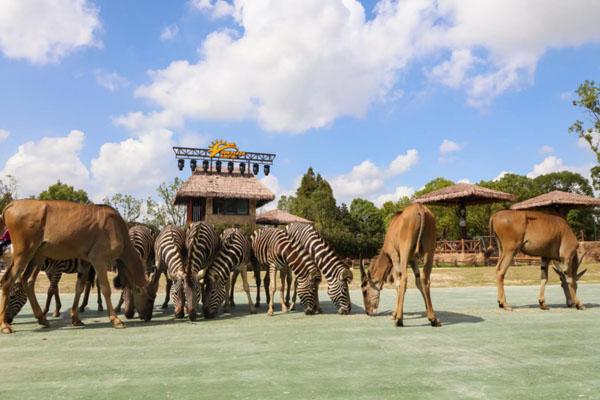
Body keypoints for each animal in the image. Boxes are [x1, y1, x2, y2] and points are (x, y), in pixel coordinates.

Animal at [0, 200, 155, 334]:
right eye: (149, 298)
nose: (148, 317)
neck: (117, 228)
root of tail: (11, 205)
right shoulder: (98, 260)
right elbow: (106, 288)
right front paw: (115, 320)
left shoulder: (86, 262)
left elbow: (79, 287)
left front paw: (75, 318)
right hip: (23, 253)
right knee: (7, 280)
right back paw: (4, 325)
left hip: (36, 255)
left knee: (26, 281)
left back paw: (42, 319)